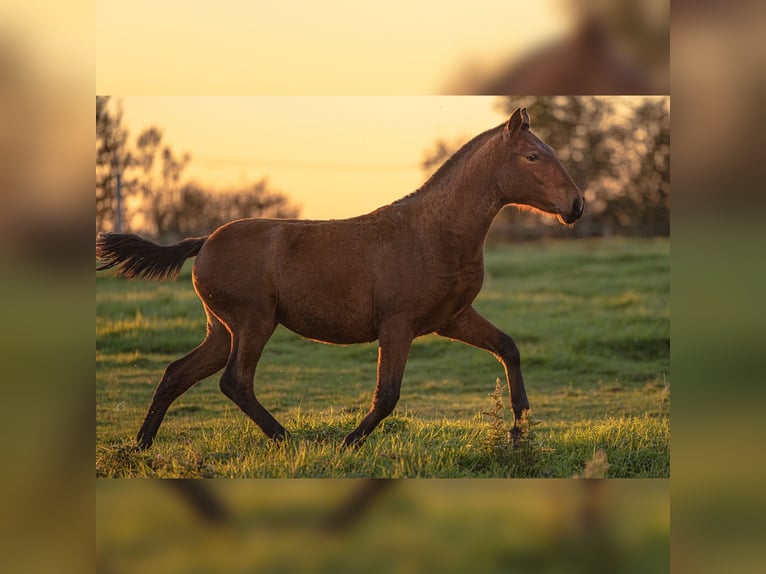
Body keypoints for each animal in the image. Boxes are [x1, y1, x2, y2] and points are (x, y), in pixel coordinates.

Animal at [97, 107, 588, 450]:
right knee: (234, 382)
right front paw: (347, 445)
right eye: (532, 156)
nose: (577, 204)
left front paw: (520, 433)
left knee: (177, 374)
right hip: (253, 324)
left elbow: (509, 348)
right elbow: (386, 395)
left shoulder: (453, 318)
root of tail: (204, 242)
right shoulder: (398, 326)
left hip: (222, 330)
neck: (433, 232)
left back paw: (141, 446)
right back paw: (287, 441)